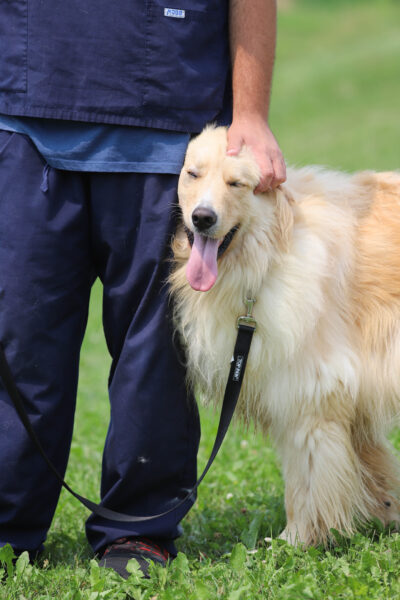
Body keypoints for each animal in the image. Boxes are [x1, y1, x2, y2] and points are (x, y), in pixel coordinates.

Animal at [170, 124, 400, 548]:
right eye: (193, 175)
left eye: (237, 183)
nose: (203, 218)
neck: (273, 251)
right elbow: (372, 467)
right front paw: (384, 515)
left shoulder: (310, 392)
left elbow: (304, 480)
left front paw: (298, 540)